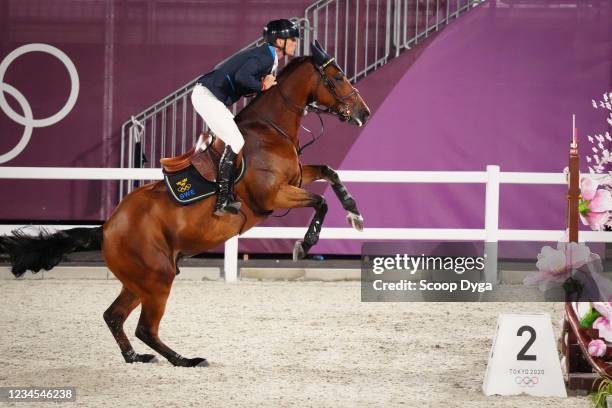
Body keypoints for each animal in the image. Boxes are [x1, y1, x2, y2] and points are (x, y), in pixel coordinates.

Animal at [0, 40, 370, 366]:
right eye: (338, 76)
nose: (364, 114)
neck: (271, 129)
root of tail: (106, 228)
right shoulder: (273, 194)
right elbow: (319, 203)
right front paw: (302, 245)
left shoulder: (296, 178)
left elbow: (330, 173)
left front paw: (354, 214)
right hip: (157, 277)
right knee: (144, 328)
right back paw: (186, 360)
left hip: (140, 281)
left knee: (114, 316)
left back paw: (137, 358)